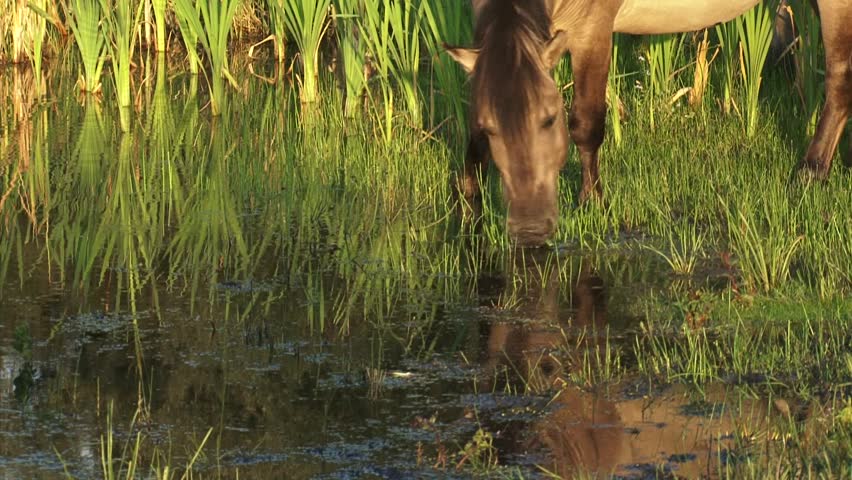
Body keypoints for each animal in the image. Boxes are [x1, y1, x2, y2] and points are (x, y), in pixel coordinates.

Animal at [446, 0, 852, 246]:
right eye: (490, 128)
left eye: (549, 120)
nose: (529, 227)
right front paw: (468, 202)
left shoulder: (592, 31)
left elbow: (586, 125)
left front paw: (592, 201)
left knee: (839, 79)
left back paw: (810, 172)